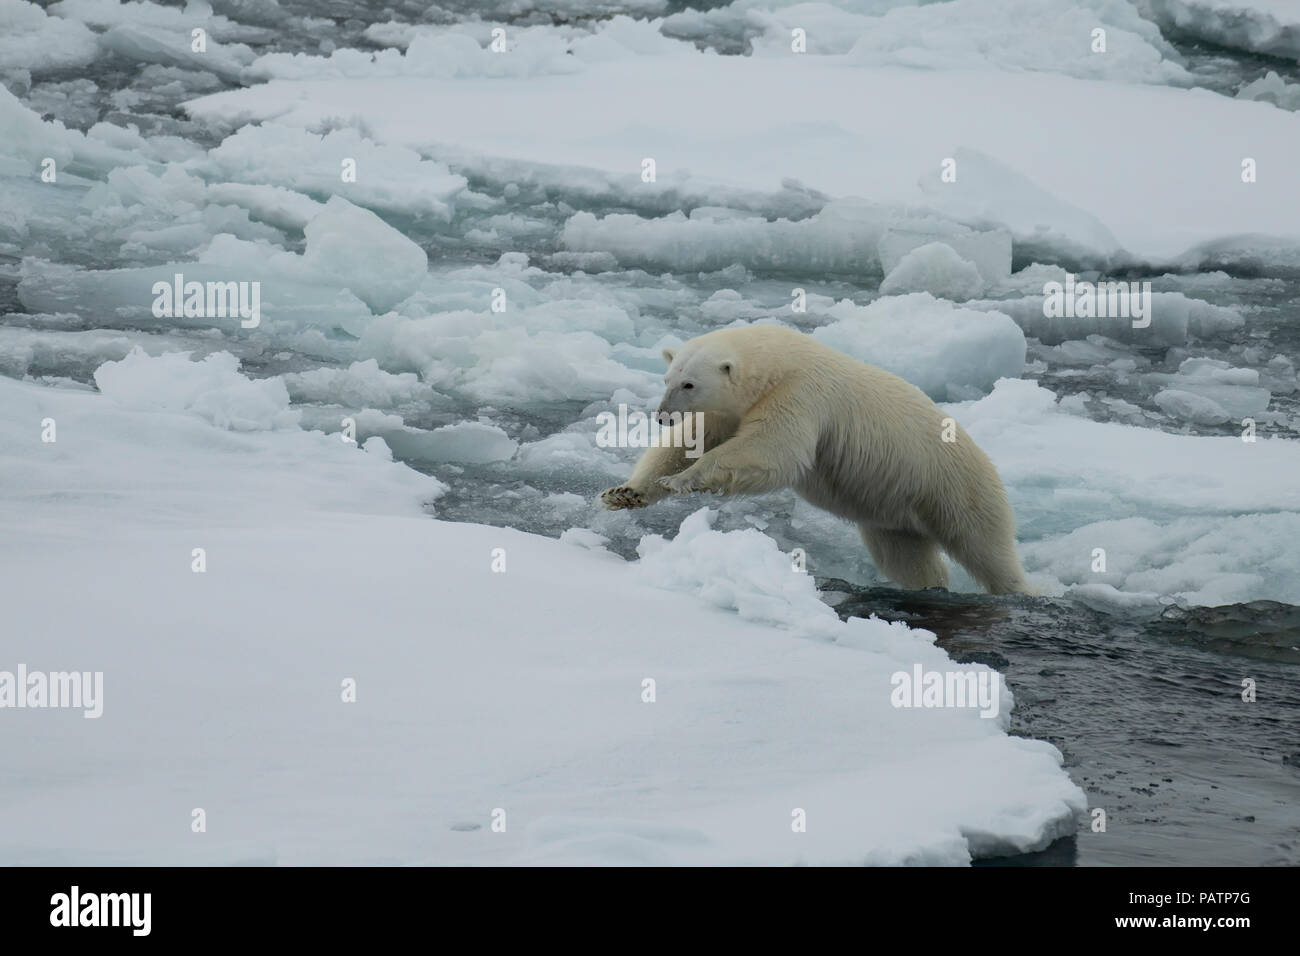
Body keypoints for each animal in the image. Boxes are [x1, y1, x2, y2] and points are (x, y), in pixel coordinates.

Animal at [595, 330, 1029, 598]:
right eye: (668, 378)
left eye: (689, 384)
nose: (662, 416)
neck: (777, 361)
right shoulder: (730, 410)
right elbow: (687, 443)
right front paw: (624, 493)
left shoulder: (802, 394)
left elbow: (772, 450)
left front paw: (687, 479)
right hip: (895, 512)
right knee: (905, 557)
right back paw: (928, 586)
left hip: (955, 485)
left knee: (985, 547)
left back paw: (1018, 589)